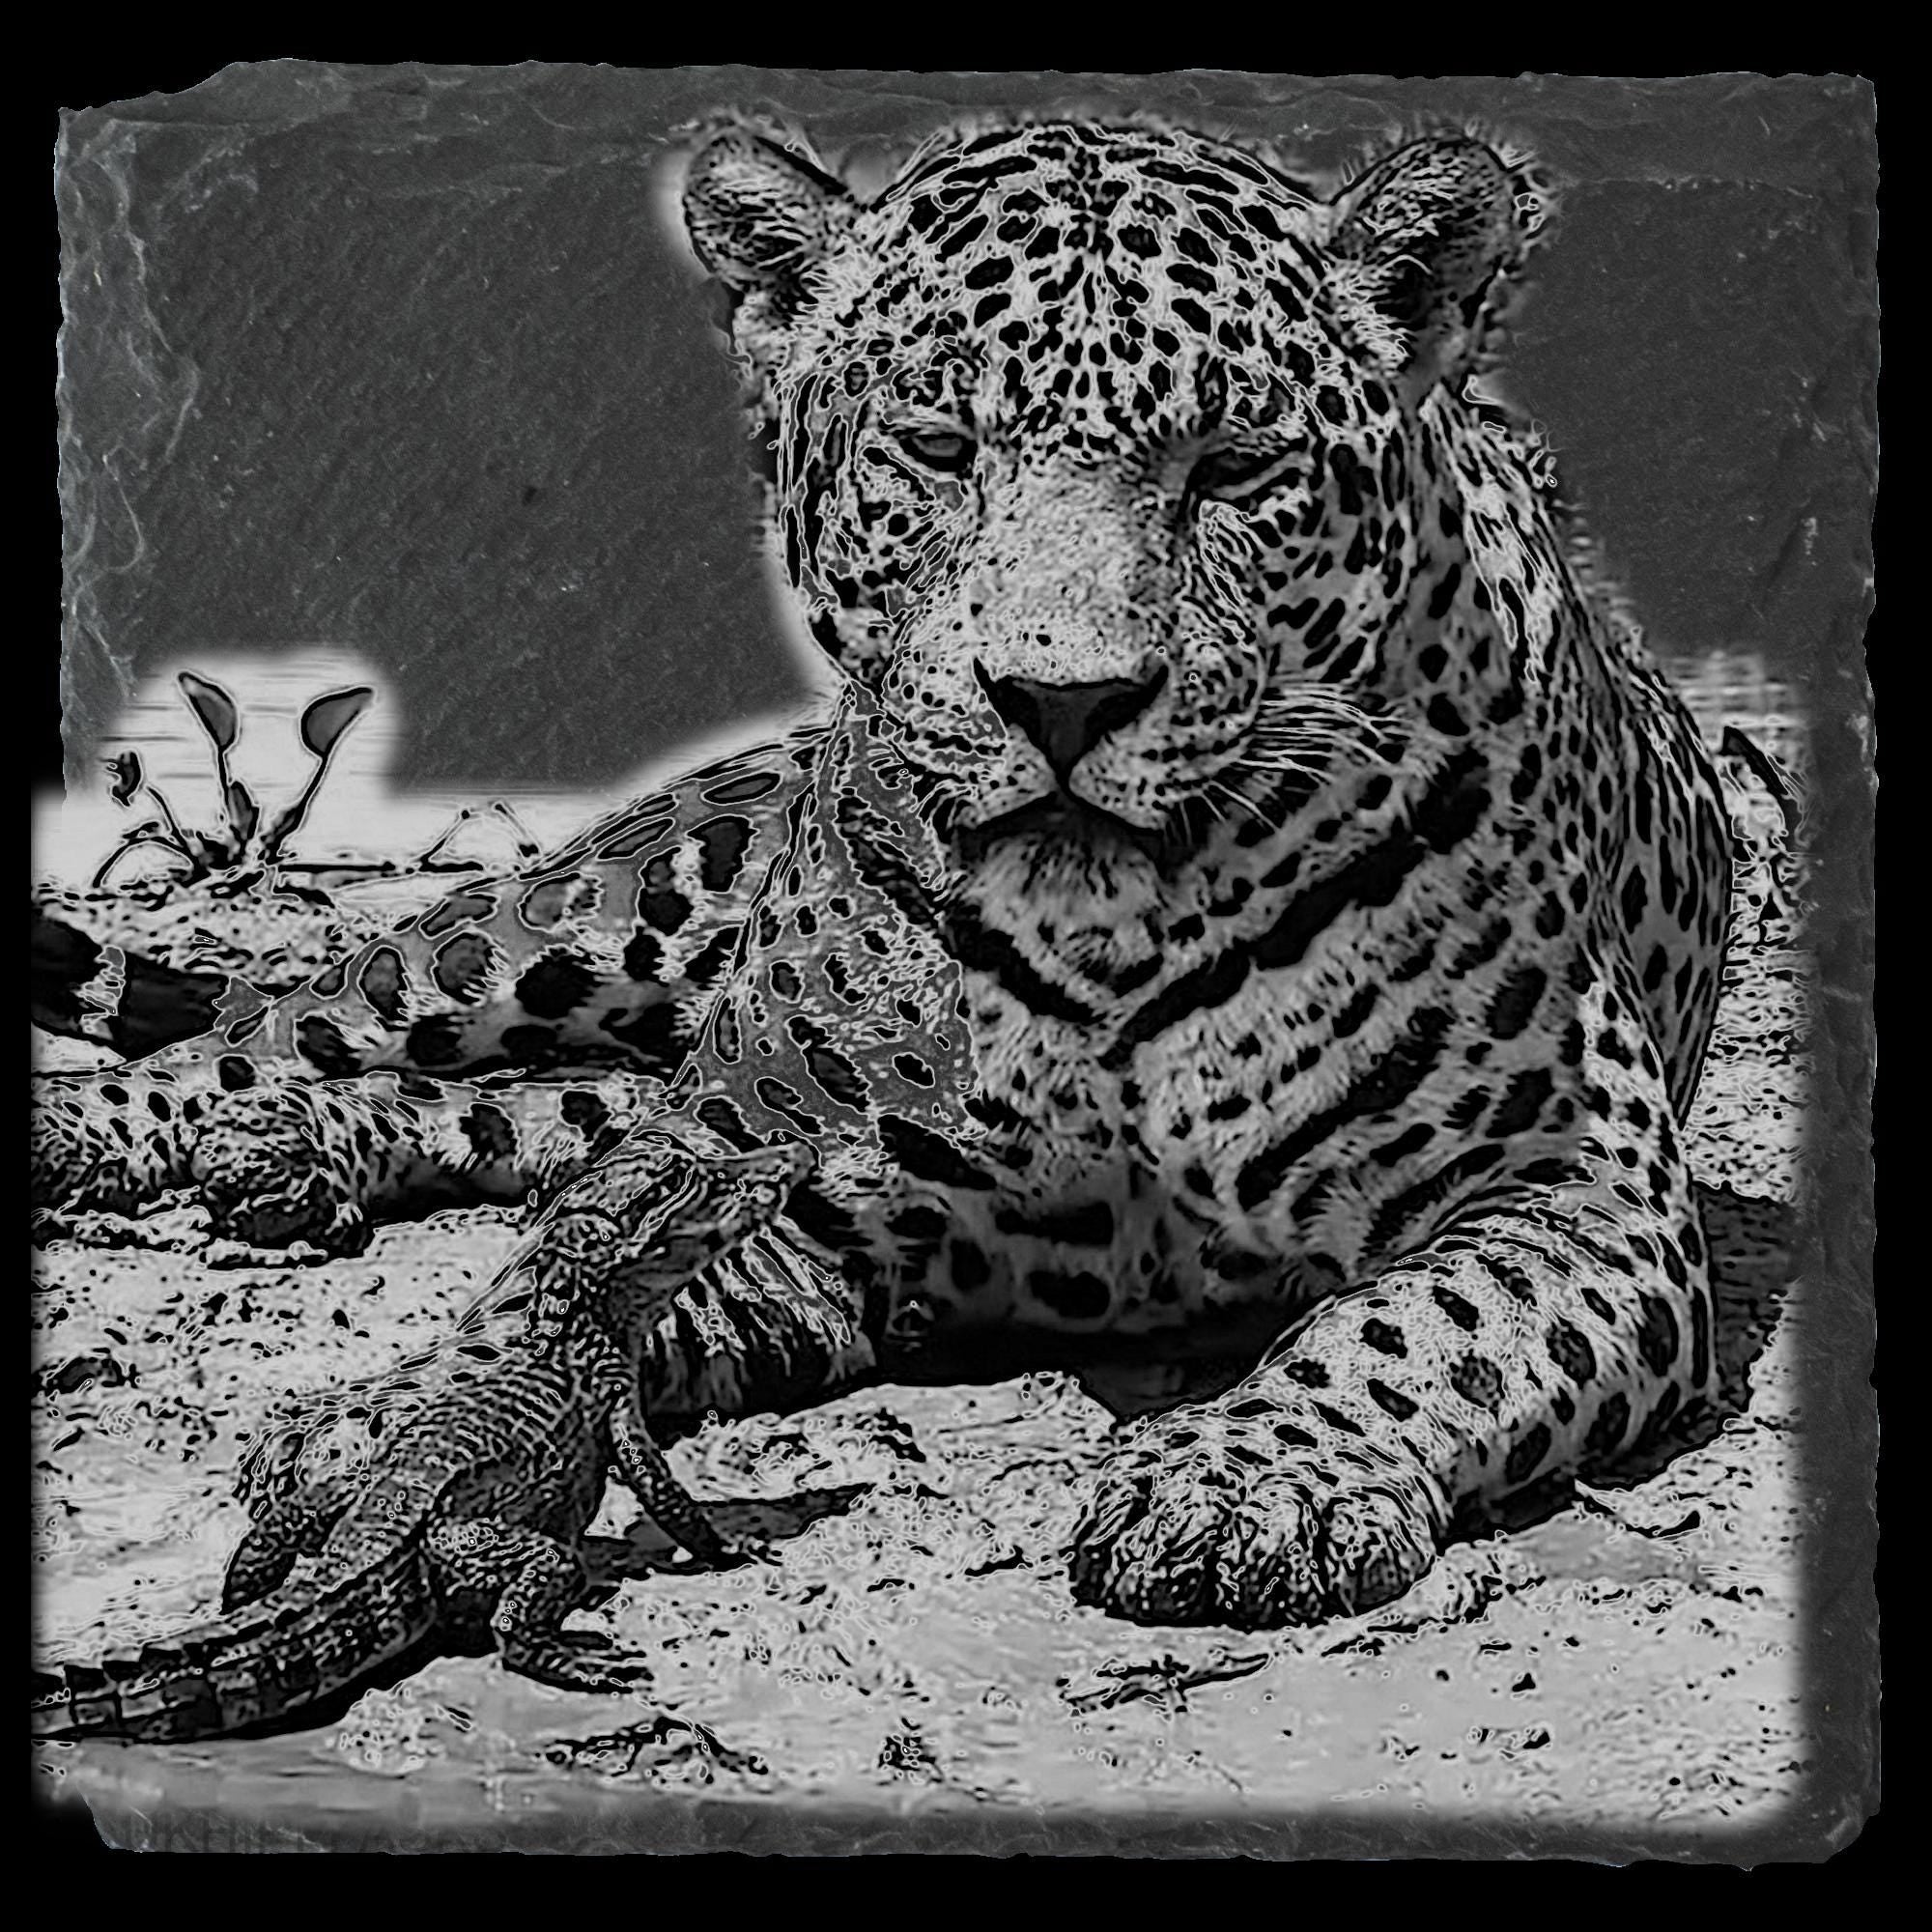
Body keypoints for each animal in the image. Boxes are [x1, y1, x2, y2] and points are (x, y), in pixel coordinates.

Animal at [32, 119, 1736, 1630]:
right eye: (939, 448)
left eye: (1236, 466)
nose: (1065, 701)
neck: (1110, 936)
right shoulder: (797, 1198)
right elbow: (552, 1282)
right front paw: (412, 1422)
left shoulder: (1573, 1191)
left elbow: (1404, 1327)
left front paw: (1247, 1481)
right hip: (597, 912)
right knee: (294, 1021)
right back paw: (148, 1128)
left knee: (548, 1113)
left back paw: (295, 1151)